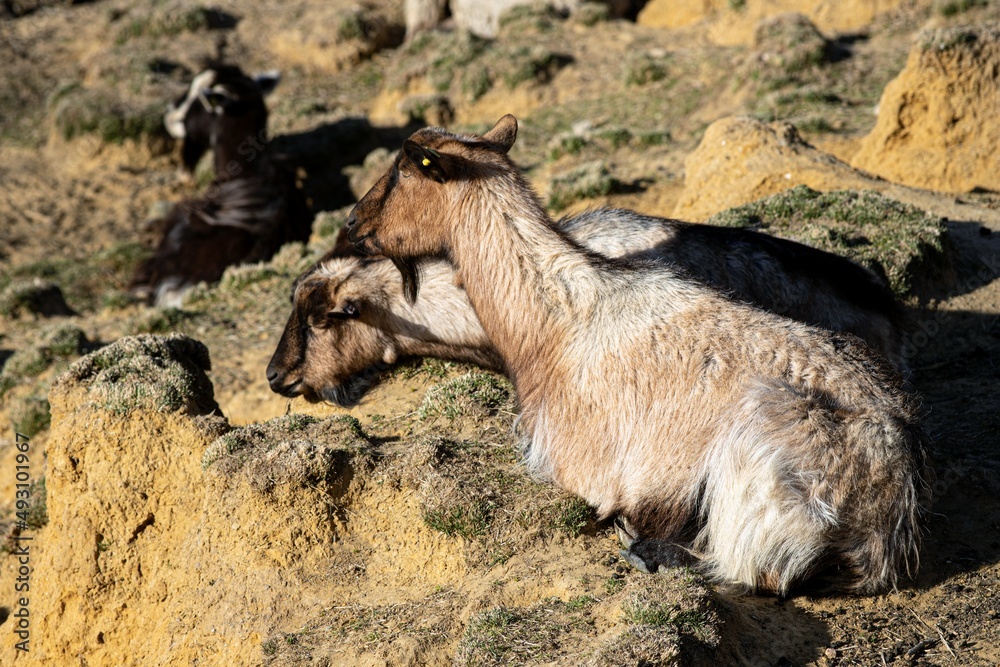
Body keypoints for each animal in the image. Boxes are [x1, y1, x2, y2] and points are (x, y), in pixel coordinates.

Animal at [341, 115, 932, 595]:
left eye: (402, 172)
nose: (351, 224)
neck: (556, 323)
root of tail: (889, 496)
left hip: (761, 449)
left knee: (754, 570)